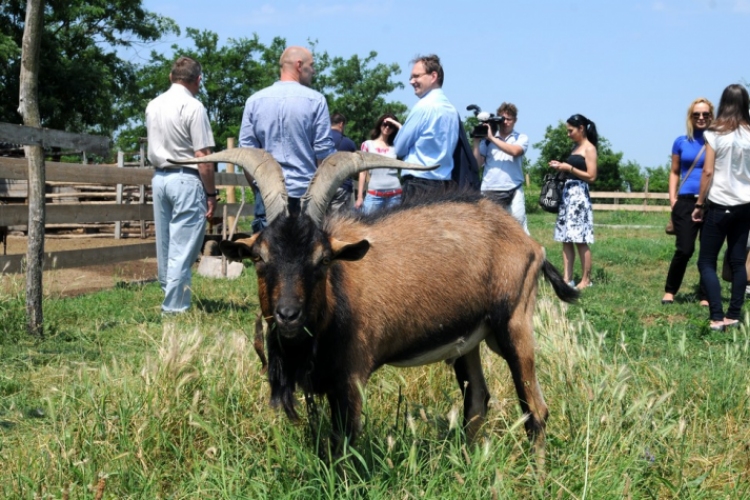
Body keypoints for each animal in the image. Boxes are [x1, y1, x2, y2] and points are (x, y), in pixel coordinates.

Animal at [172, 147, 580, 464]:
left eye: (323, 259)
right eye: (259, 257)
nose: (289, 315)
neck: (335, 299)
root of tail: (529, 244)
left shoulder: (351, 379)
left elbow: (344, 446)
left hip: (514, 323)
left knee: (535, 409)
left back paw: (537, 477)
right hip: (468, 339)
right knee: (477, 401)